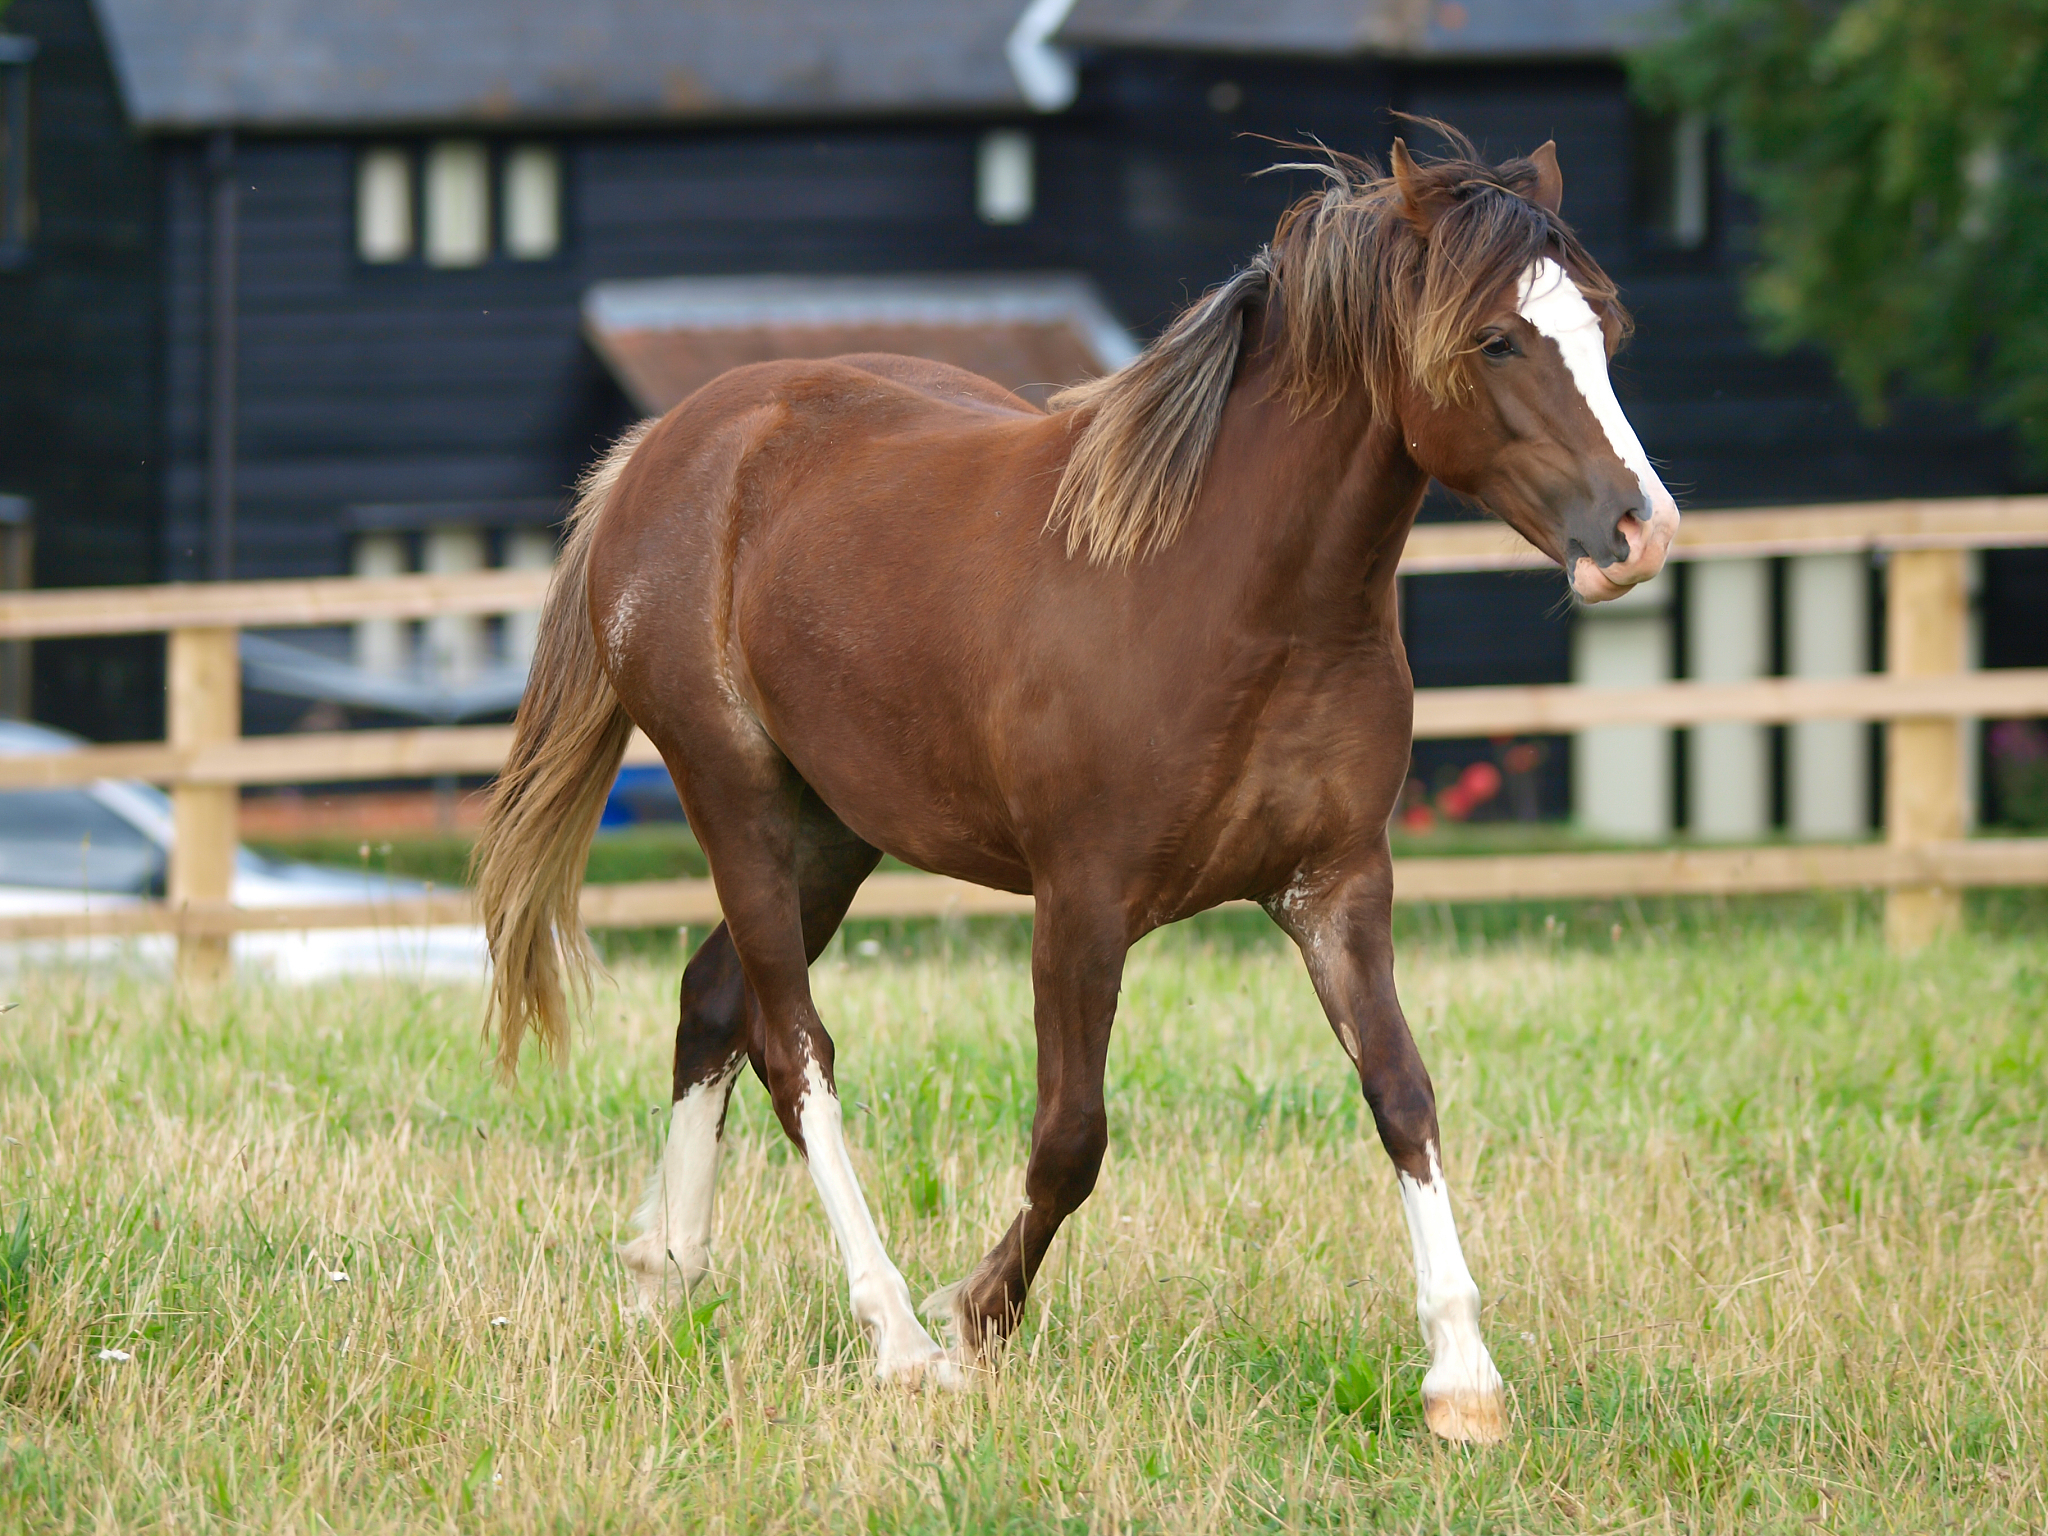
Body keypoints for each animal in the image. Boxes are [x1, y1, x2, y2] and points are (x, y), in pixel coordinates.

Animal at [472, 130, 1678, 1444]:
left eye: (1605, 330)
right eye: (1497, 340)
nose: (1640, 532)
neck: (1223, 589)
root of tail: (667, 450)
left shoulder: (1337, 887)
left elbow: (1401, 1096)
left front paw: (1461, 1379)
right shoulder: (1081, 902)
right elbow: (1070, 1139)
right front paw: (971, 1318)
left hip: (828, 831)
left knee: (710, 1003)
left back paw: (663, 1277)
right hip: (730, 793)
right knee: (792, 1050)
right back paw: (891, 1336)